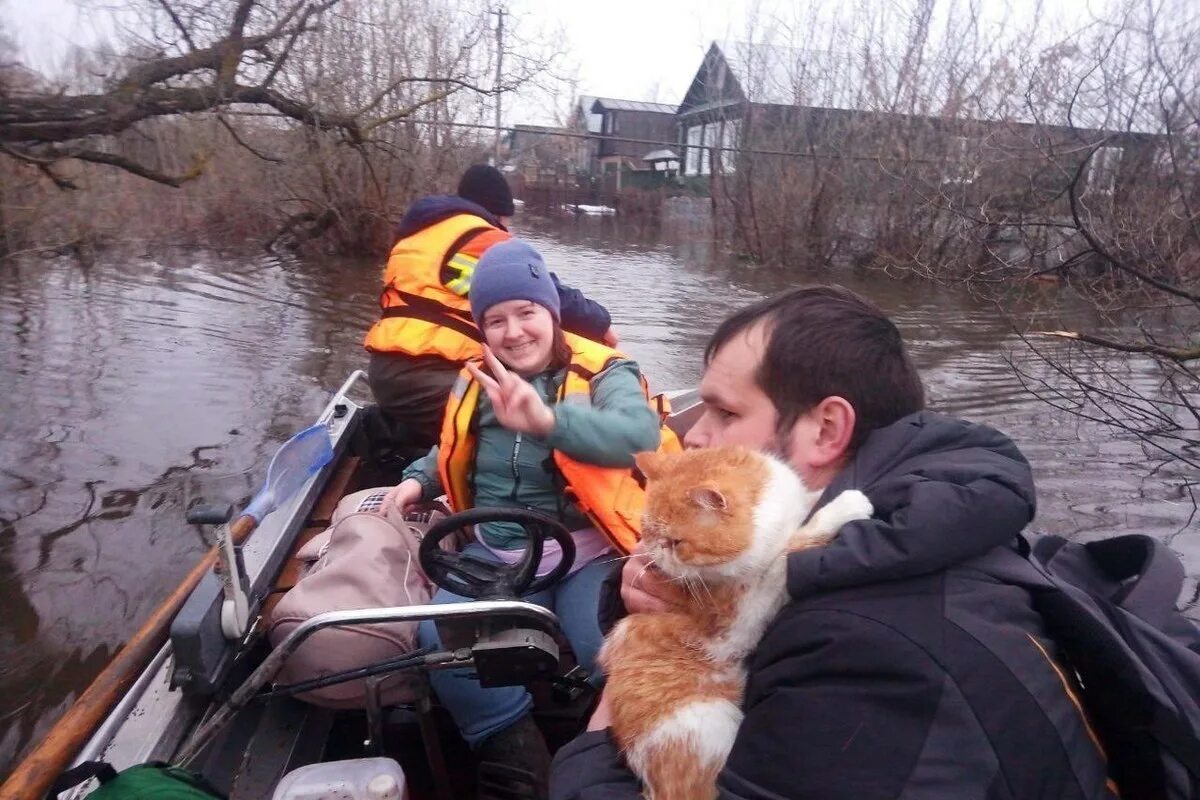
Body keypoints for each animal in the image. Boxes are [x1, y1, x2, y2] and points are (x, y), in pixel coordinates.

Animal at [600, 448, 873, 796]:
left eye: (676, 542)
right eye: (648, 532)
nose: (657, 555)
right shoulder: (738, 621)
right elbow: (786, 556)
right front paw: (846, 506)